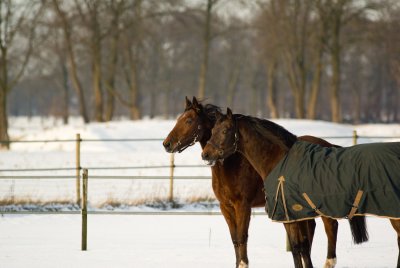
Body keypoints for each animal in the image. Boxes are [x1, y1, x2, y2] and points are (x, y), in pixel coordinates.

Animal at [163, 97, 368, 268]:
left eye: (189, 121)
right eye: (212, 131)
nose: (167, 144)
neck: (233, 164)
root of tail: (329, 145)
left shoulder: (243, 206)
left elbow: (242, 238)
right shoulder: (226, 207)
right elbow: (235, 240)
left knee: (330, 228)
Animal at [202, 108, 400, 268]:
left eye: (225, 130)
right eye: (212, 131)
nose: (205, 154)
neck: (278, 160)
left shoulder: (288, 215)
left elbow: (298, 248)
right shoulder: (293, 216)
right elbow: (300, 247)